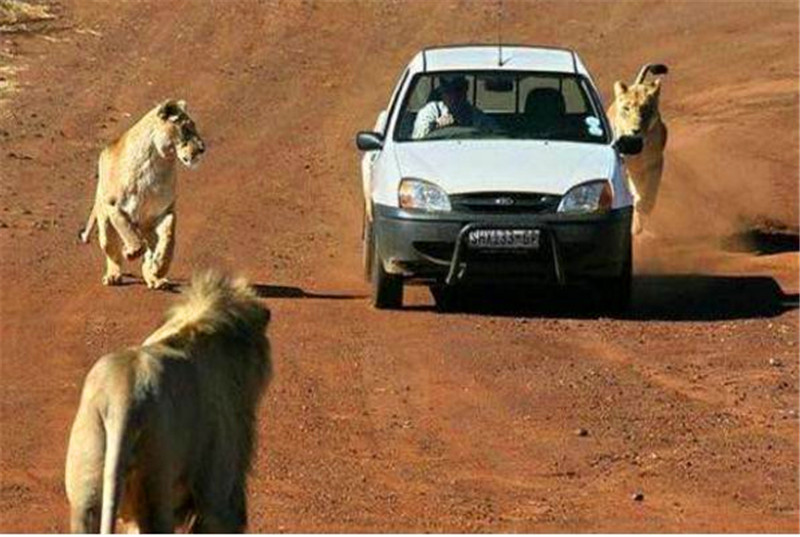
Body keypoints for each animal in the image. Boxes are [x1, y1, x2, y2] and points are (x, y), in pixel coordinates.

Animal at [79, 98, 205, 286]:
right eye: (186, 128)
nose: (203, 148)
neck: (157, 163)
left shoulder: (165, 211)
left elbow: (169, 240)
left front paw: (159, 268)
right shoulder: (114, 206)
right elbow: (128, 232)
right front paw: (131, 252)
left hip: (147, 227)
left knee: (150, 249)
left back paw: (155, 278)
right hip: (104, 219)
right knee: (112, 249)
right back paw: (114, 275)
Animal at [608, 61, 664, 233]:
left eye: (646, 109)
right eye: (626, 108)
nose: (635, 130)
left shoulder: (655, 163)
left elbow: (649, 193)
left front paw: (641, 214)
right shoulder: (624, 168)